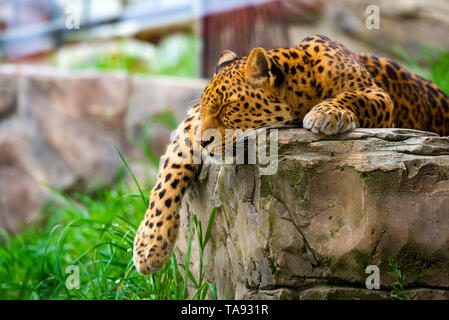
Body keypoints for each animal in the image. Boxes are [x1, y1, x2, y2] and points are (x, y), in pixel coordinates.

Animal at [133, 34, 448, 276]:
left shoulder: (377, 96)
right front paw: (150, 244)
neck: (303, 87)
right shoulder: (192, 120)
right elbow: (170, 170)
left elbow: (354, 97)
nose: (204, 140)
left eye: (227, 107)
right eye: (208, 108)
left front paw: (326, 113)